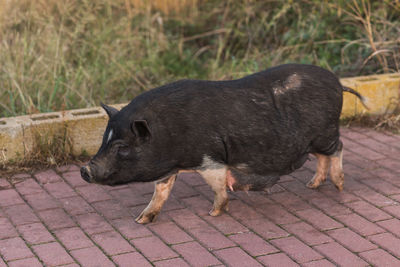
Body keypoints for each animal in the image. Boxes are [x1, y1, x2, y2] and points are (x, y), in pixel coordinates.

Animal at [80, 64, 366, 224]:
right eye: (104, 139)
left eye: (122, 147)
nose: (85, 169)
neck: (169, 133)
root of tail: (338, 82)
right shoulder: (169, 168)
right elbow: (160, 193)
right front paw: (141, 220)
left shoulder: (211, 159)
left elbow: (218, 186)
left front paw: (214, 214)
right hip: (314, 140)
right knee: (322, 157)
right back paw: (312, 185)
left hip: (326, 132)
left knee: (338, 149)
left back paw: (338, 186)